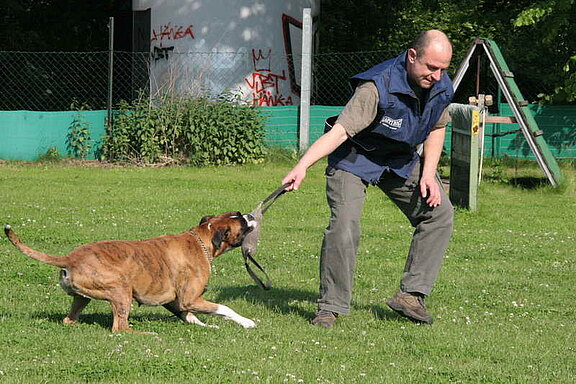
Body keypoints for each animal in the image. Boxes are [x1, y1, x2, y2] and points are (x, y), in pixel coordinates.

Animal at [3, 212, 258, 332]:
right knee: (120, 328)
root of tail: (70, 258)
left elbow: (191, 317)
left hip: (82, 297)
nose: (251, 216)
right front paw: (246, 322)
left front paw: (207, 327)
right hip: (120, 290)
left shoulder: (176, 301)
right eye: (241, 222)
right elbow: (224, 308)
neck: (202, 240)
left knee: (70, 318)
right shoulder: (190, 299)